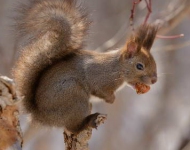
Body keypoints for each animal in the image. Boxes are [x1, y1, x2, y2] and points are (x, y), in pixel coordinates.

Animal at [11, 0, 157, 134]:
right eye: (139, 66)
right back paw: (88, 121)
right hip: (75, 98)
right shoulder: (99, 77)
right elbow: (100, 90)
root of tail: (41, 116)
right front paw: (111, 99)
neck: (117, 68)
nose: (154, 80)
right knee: (72, 128)